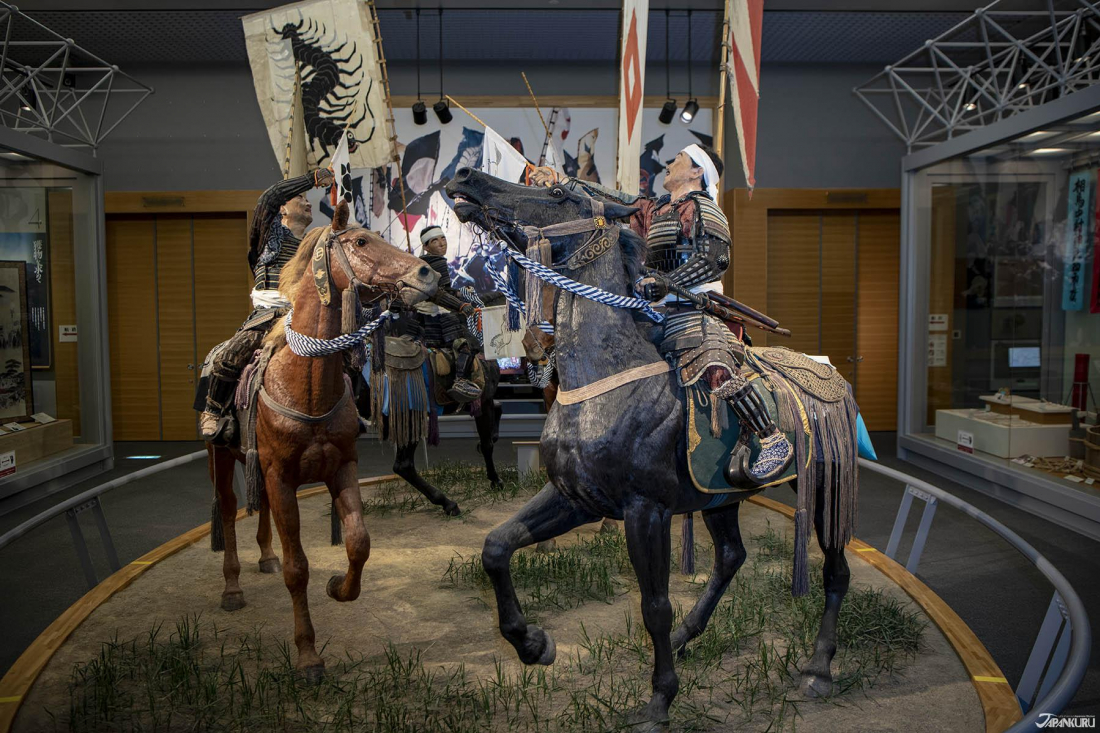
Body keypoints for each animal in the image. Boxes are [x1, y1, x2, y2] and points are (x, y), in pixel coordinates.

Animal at [206, 200, 437, 677]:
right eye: (362, 241)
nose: (426, 274)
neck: (306, 384)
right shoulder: (280, 478)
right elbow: (298, 568)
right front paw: (308, 654)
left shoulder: (340, 468)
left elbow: (359, 544)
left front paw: (337, 588)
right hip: (218, 456)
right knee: (230, 510)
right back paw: (232, 588)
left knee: (257, 510)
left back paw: (265, 558)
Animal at [446, 167, 858, 730]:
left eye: (557, 193)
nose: (466, 178)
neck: (602, 380)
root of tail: (832, 376)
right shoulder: (576, 498)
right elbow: (496, 547)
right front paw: (533, 644)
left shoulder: (647, 511)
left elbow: (654, 605)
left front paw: (660, 699)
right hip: (721, 498)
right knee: (731, 556)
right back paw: (688, 636)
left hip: (825, 490)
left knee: (835, 569)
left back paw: (818, 666)